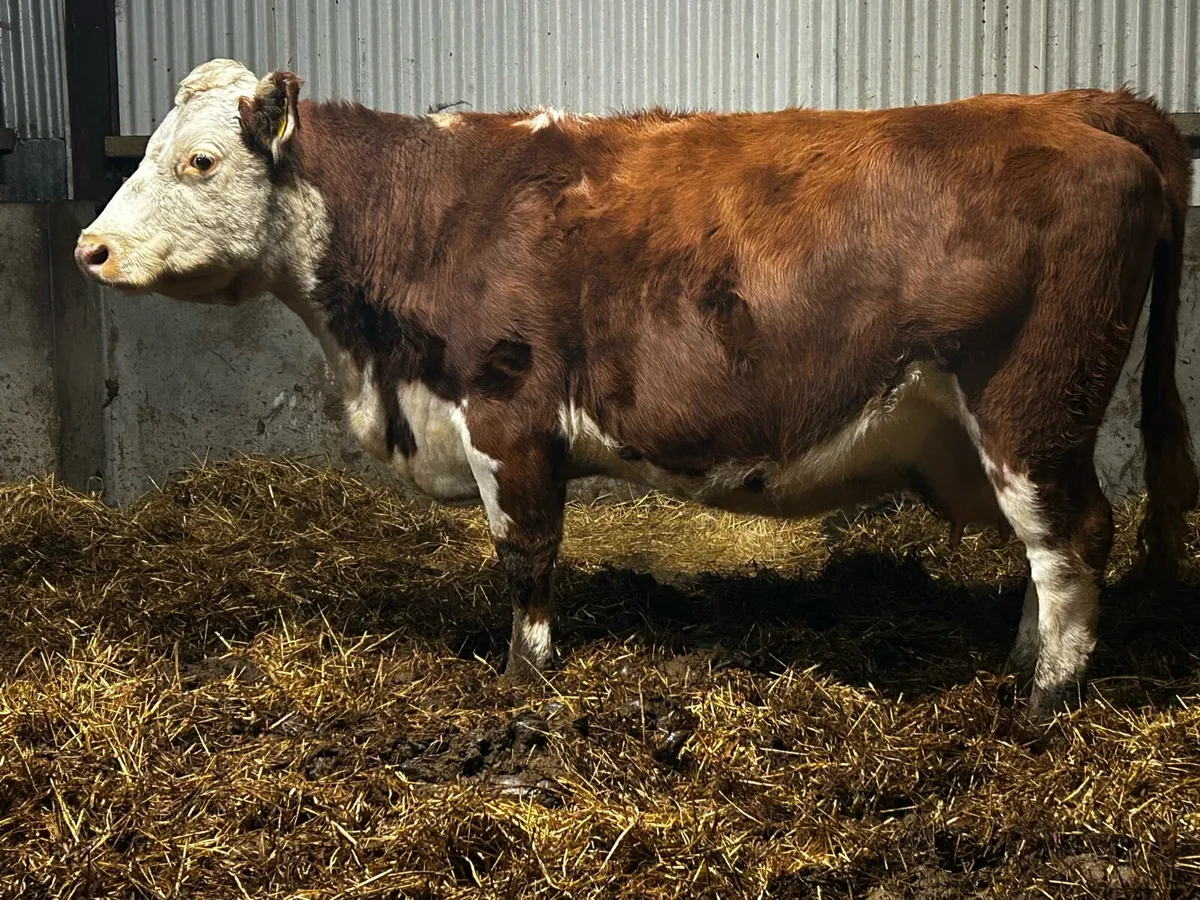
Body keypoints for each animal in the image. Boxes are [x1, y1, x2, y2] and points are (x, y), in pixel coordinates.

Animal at [76, 59, 1197, 720]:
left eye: (200, 159)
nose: (89, 247)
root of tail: (1073, 107)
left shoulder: (509, 415)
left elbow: (526, 556)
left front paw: (525, 678)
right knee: (1048, 553)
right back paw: (1021, 665)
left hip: (1031, 405)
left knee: (1071, 540)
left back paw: (1046, 700)